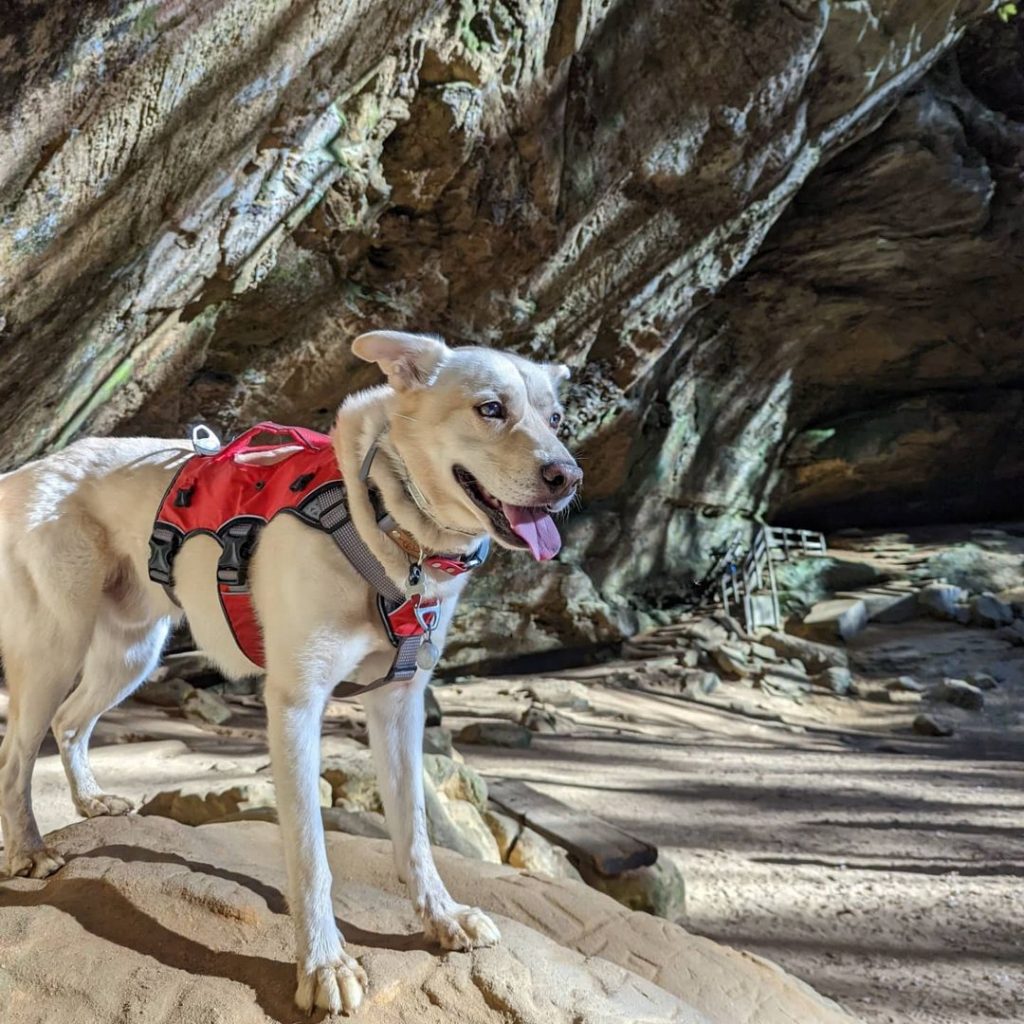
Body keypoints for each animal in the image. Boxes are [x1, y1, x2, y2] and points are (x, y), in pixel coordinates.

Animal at [0, 333, 581, 1015]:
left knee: (70, 723)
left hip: (132, 651)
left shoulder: (399, 705)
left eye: (557, 419)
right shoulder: (296, 705)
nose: (568, 476)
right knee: (16, 753)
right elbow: (311, 855)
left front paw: (442, 916)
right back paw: (29, 850)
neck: (380, 520)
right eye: (490, 408)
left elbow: (414, 831)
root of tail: (28, 470)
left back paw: (91, 800)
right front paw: (323, 964)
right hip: (54, 646)